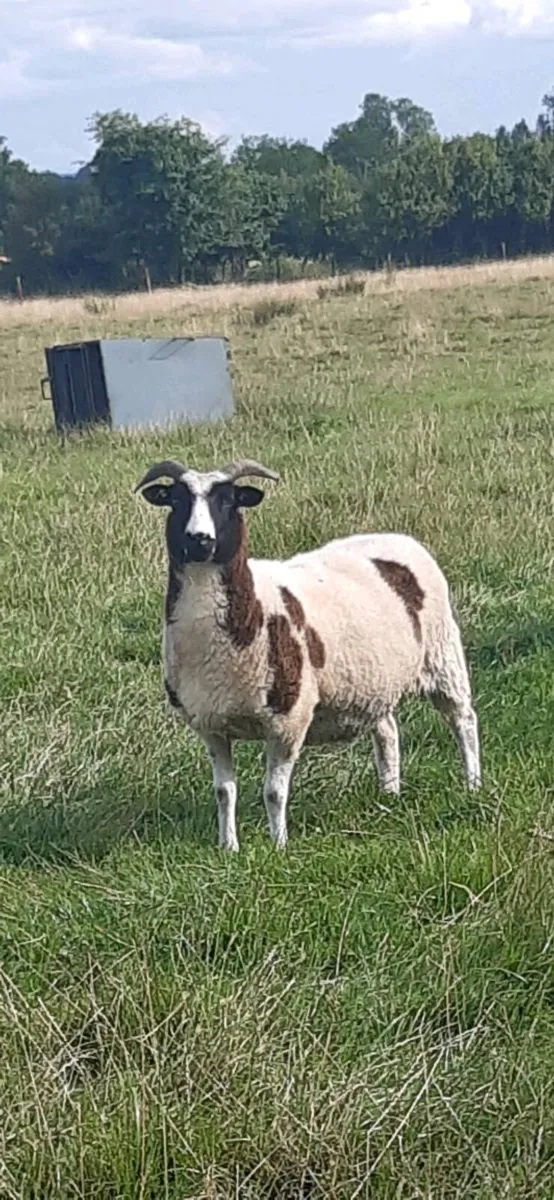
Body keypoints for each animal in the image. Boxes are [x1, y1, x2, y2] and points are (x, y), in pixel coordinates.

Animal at [135, 457, 481, 851]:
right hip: (373, 681)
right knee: (388, 731)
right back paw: (389, 794)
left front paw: (278, 846)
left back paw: (473, 785)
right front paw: (229, 847)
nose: (200, 540)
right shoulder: (212, 725)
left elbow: (274, 792)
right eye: (176, 501)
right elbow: (224, 792)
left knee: (464, 721)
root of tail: (400, 538)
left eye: (227, 501)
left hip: (443, 657)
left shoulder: (288, 721)